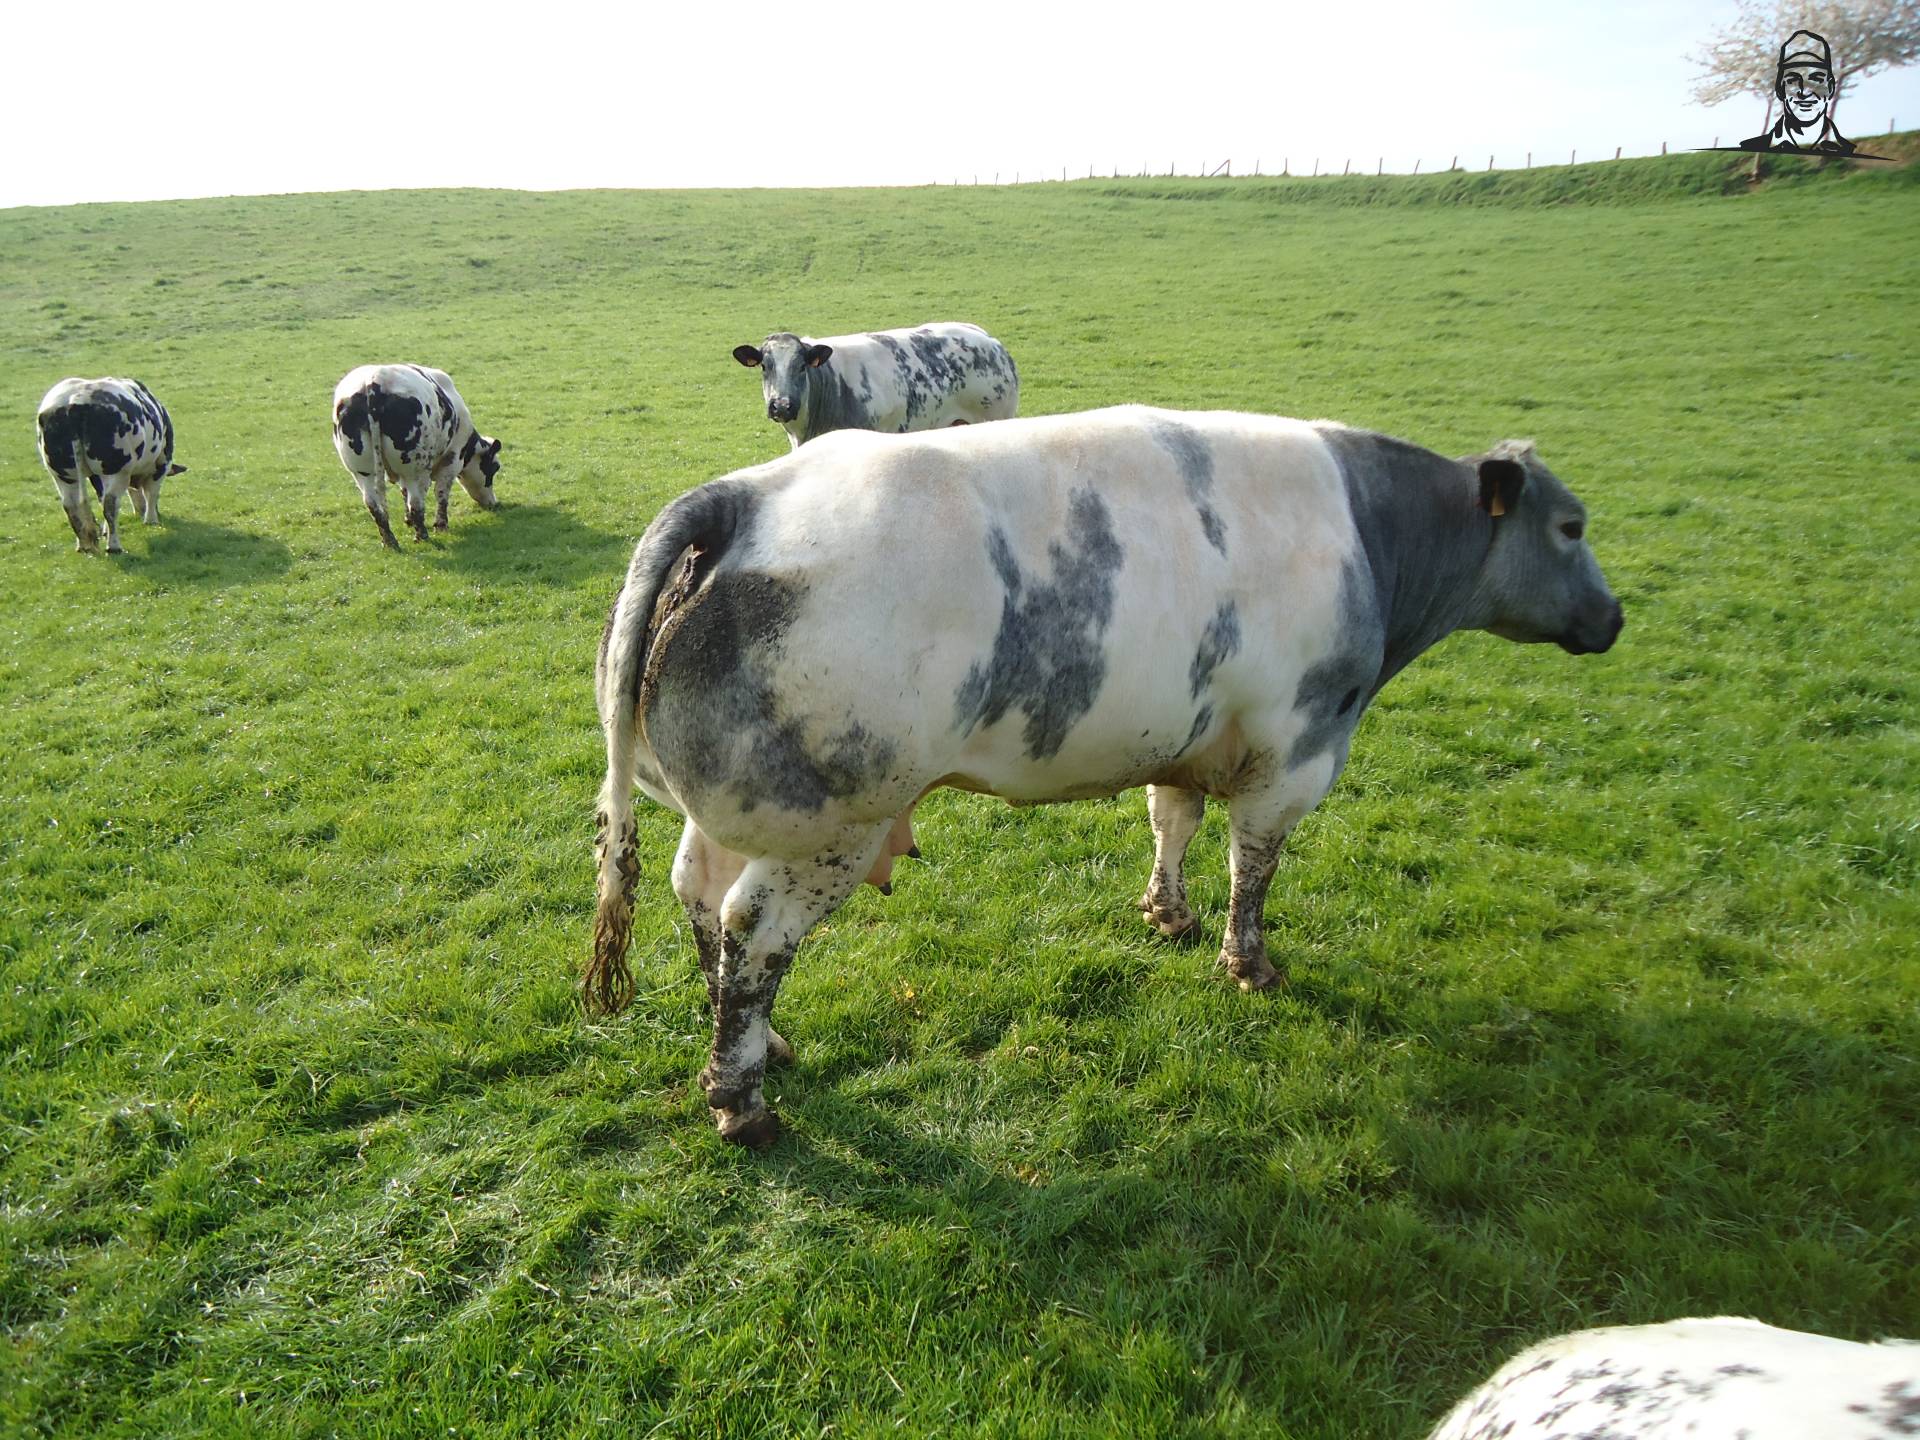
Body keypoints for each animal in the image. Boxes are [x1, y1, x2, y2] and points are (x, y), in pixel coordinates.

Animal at [35, 377, 186, 555]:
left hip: (63, 473)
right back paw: (114, 546)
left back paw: (84, 545)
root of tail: (74, 403)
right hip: (116, 470)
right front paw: (151, 520)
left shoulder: (96, 476)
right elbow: (152, 492)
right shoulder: (163, 461)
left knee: (71, 505)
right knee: (110, 504)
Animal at [331, 364, 502, 548]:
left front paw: (408, 520)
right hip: (415, 469)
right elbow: (441, 493)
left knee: (373, 504)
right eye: (494, 468)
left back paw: (390, 541)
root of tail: (375, 381)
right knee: (416, 502)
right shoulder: (452, 459)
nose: (493, 503)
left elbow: (404, 492)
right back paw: (422, 536)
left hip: (361, 471)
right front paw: (441, 526)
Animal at [588, 406, 1623, 1147]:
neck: (1377, 544)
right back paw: (743, 1101)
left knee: (698, 897)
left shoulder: (1194, 735)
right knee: (753, 934)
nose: (1614, 619)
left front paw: (1167, 912)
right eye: (1571, 526)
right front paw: (1250, 965)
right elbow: (1256, 866)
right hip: (835, 823)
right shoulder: (1298, 746)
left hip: (732, 807)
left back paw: (767, 1044)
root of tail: (741, 499)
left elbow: (1174, 821)